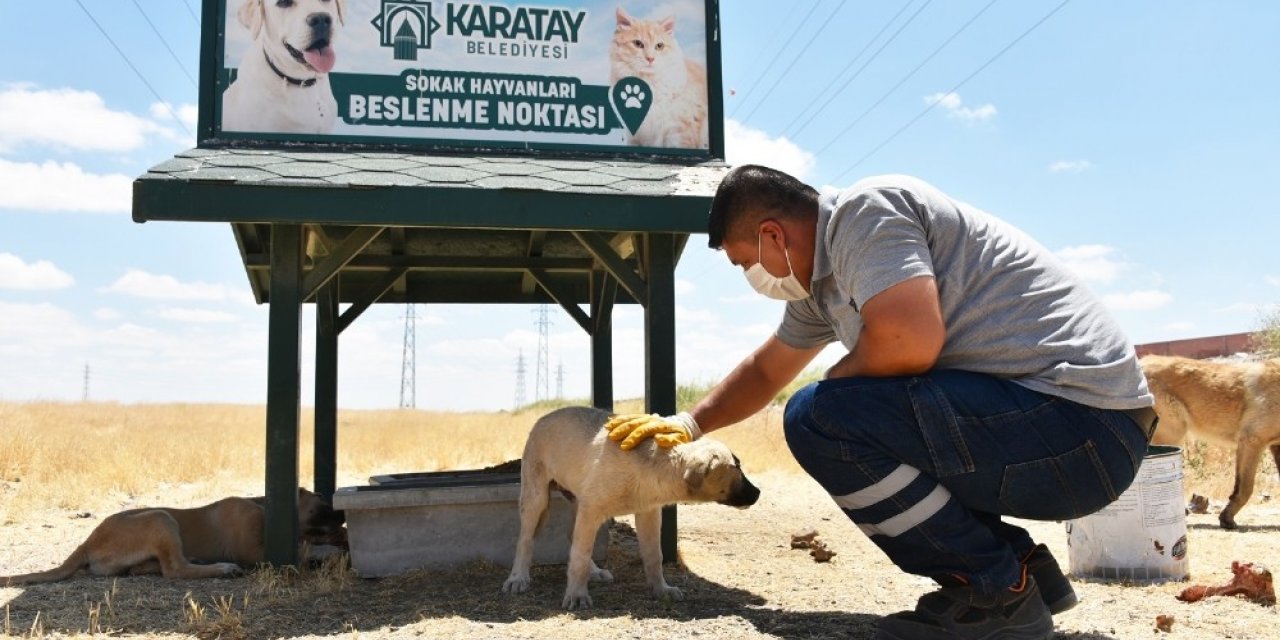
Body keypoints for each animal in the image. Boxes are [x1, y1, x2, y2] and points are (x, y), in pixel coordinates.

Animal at [0, 486, 345, 583]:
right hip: (161, 518)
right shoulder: (255, 552)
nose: (342, 513)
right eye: (322, 501)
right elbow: (304, 547)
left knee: (152, 568)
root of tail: (87, 542)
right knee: (174, 570)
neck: (264, 506)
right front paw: (329, 552)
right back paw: (222, 569)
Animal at [501, 404, 757, 609]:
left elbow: (654, 555)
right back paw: (518, 578)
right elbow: (579, 556)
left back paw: (595, 572)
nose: (758, 493)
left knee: (570, 535)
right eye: (737, 466)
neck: (654, 464)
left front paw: (661, 589)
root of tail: (544, 417)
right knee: (526, 539)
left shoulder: (648, 513)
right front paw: (576, 595)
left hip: (577, 500)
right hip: (536, 497)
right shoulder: (591, 511)